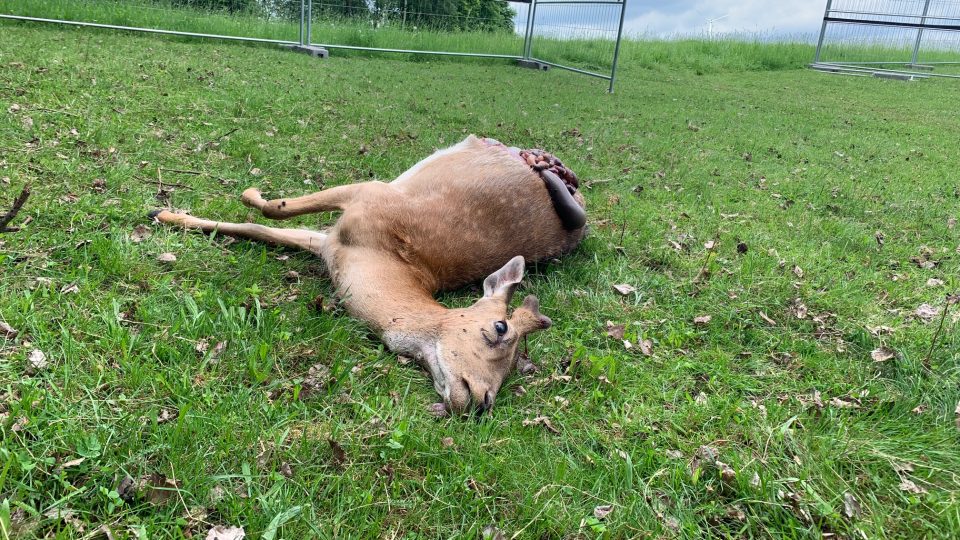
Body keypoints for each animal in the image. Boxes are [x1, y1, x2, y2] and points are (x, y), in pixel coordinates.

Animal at [152, 134, 584, 414]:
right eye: (500, 328)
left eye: (515, 367)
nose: (483, 401)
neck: (381, 260)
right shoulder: (366, 196)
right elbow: (266, 215)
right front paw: (169, 212)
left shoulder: (334, 237)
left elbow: (261, 224)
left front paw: (166, 212)